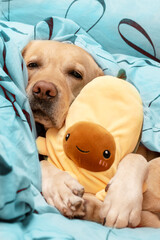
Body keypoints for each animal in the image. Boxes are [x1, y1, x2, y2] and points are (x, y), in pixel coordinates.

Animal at [22, 40, 160, 229]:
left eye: (76, 74)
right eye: (32, 65)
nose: (44, 90)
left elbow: (135, 158)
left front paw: (121, 200)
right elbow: (41, 162)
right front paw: (60, 186)